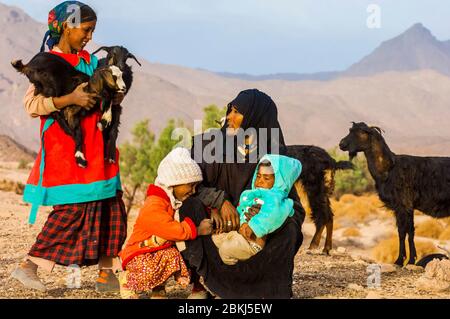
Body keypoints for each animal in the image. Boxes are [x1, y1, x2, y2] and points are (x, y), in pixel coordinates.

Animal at [340, 122, 450, 268]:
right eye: (350, 130)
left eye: (361, 132)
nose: (341, 144)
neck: (390, 168)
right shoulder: (404, 207)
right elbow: (407, 232)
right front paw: (408, 260)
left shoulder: (404, 204)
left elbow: (404, 232)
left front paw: (402, 260)